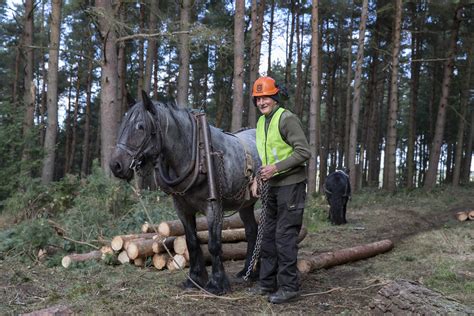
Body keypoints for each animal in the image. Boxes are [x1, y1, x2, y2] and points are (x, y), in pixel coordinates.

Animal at [109, 92, 262, 296]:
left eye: (140, 126)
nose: (116, 166)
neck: (197, 154)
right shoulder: (182, 207)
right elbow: (192, 242)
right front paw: (195, 279)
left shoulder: (214, 206)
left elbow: (214, 244)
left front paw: (217, 283)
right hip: (245, 204)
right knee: (252, 230)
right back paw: (247, 272)